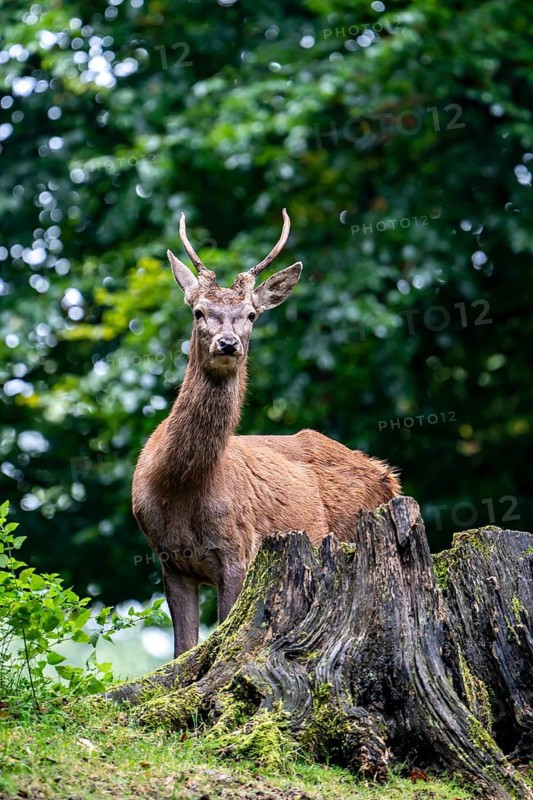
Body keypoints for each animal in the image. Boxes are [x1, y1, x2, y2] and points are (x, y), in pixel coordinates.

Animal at [132, 210, 401, 657]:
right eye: (198, 311)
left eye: (251, 314)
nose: (228, 343)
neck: (179, 484)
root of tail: (389, 476)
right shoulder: (169, 559)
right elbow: (183, 649)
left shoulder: (239, 549)